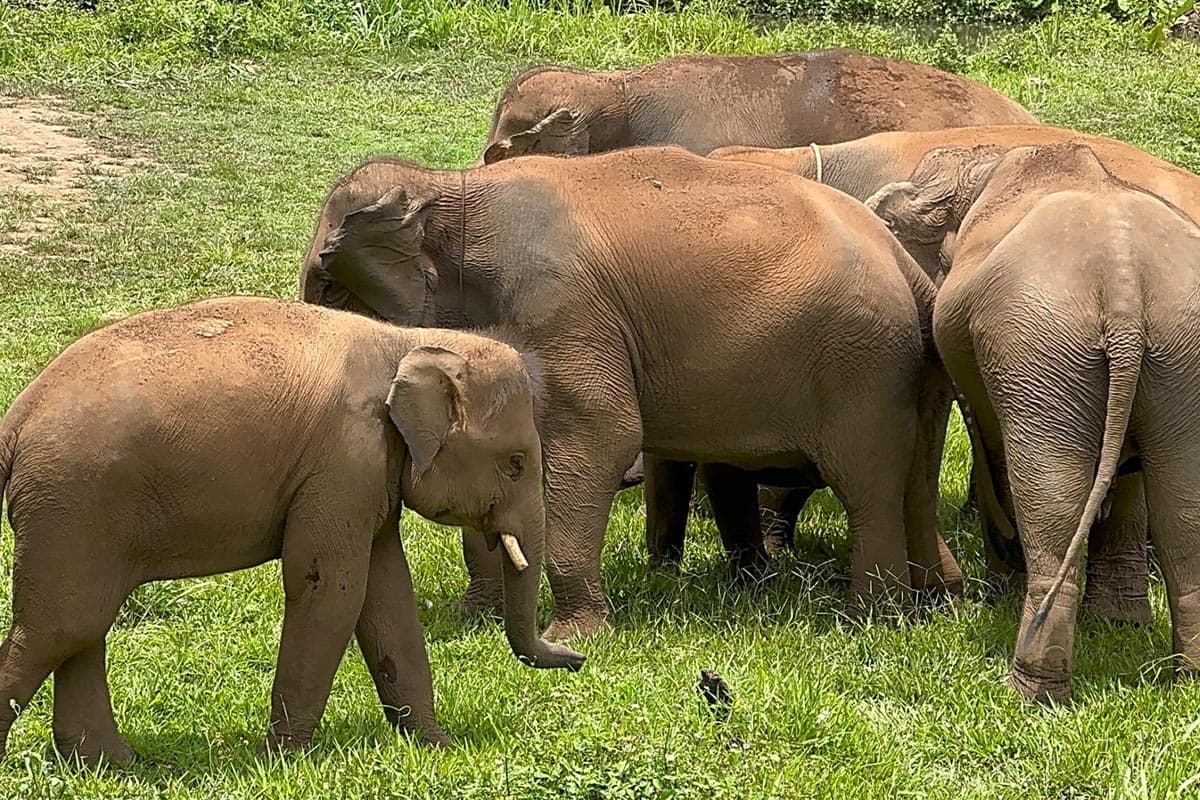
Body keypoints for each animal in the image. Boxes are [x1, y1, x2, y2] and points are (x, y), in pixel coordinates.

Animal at [0, 297, 583, 766]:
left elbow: (388, 595)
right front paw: (285, 759)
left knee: (84, 625)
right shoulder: (344, 458)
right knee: (60, 627)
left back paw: (116, 766)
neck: (406, 341)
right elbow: (331, 590)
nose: (577, 660)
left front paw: (437, 747)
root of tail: (16, 419)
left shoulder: (369, 474)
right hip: (72, 502)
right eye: (515, 464)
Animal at [300, 146, 963, 639]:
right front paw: (475, 619)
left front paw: (575, 636)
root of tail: (904, 262)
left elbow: (601, 436)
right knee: (912, 482)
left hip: (862, 364)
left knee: (867, 484)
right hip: (905, 370)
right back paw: (935, 598)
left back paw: (868, 621)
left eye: (329, 289)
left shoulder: (561, 305)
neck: (455, 187)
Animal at [865, 141, 1200, 703]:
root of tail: (1125, 286)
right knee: (1183, 510)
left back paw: (1030, 691)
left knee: (1051, 497)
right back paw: (1189, 683)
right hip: (1171, 352)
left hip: (1040, 350)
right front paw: (1117, 624)